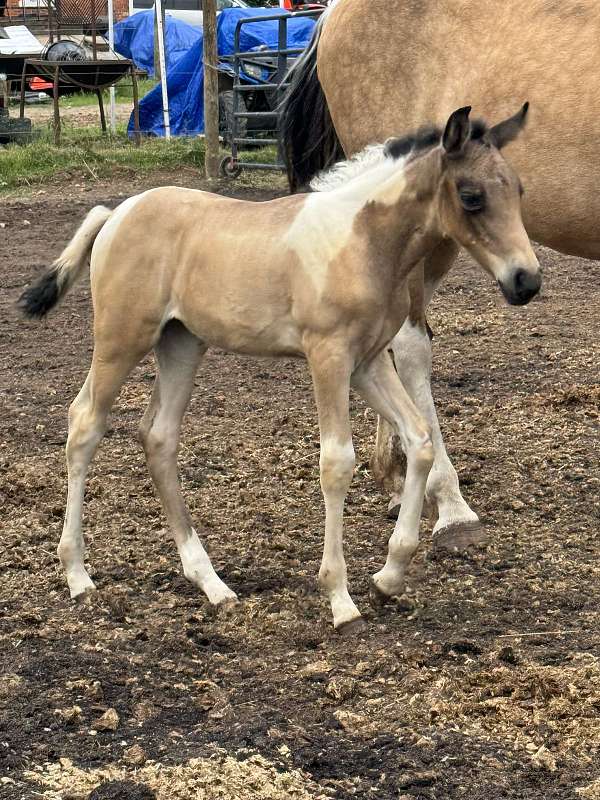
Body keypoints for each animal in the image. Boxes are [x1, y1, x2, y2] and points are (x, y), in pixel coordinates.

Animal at [21, 106, 540, 632]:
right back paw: (78, 575)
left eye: (519, 190)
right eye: (471, 197)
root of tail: (116, 213)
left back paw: (211, 584)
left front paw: (390, 575)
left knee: (158, 436)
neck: (361, 240)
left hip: (181, 343)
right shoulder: (328, 356)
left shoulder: (368, 361)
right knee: (85, 423)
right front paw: (340, 599)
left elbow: (419, 438)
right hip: (121, 339)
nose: (527, 281)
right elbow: (336, 463)